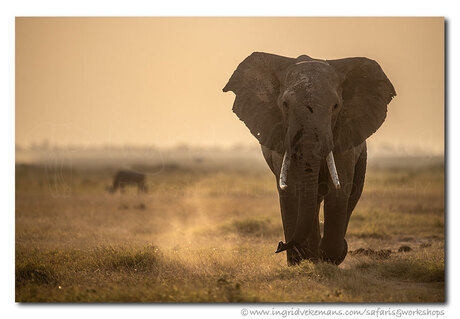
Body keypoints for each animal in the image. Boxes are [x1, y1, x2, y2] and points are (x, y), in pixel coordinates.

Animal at [224, 52, 396, 266]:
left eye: (336, 106)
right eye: (285, 105)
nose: (280, 245)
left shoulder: (343, 136)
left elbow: (339, 190)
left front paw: (329, 256)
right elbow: (291, 190)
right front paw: (301, 260)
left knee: (353, 192)